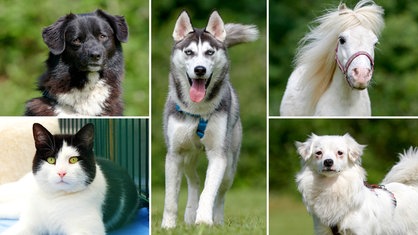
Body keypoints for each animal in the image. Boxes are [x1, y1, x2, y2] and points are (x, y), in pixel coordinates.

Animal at [0, 122, 139, 234]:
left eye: (73, 160)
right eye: (51, 160)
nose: (61, 173)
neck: (54, 198)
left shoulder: (87, 229)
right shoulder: (28, 223)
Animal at [162, 10, 258, 228]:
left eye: (210, 52)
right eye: (189, 52)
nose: (200, 70)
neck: (198, 112)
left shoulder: (218, 155)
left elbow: (209, 191)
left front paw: (205, 220)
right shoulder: (174, 155)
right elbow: (171, 198)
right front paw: (168, 225)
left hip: (230, 163)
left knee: (221, 193)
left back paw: (217, 220)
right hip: (188, 156)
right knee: (194, 179)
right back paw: (190, 213)